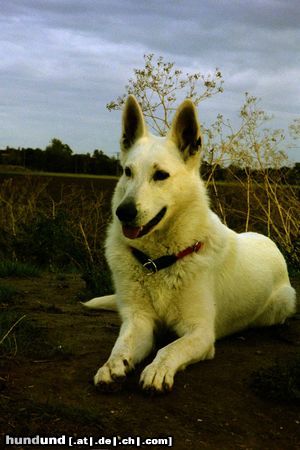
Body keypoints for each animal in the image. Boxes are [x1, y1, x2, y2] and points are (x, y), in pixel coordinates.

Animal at [84, 96, 296, 394]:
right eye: (127, 172)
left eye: (161, 175)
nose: (123, 212)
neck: (157, 262)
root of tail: (266, 240)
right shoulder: (139, 320)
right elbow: (121, 346)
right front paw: (112, 365)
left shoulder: (201, 332)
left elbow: (169, 349)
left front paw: (158, 370)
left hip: (283, 302)